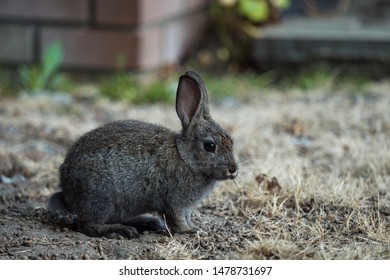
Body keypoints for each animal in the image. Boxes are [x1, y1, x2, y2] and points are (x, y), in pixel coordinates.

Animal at [48, 70, 238, 238]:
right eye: (210, 146)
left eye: (232, 142)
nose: (233, 170)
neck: (185, 158)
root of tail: (66, 187)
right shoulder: (174, 202)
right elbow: (177, 219)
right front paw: (189, 231)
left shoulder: (187, 208)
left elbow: (187, 217)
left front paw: (194, 227)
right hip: (101, 196)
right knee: (86, 225)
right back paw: (119, 230)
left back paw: (147, 222)